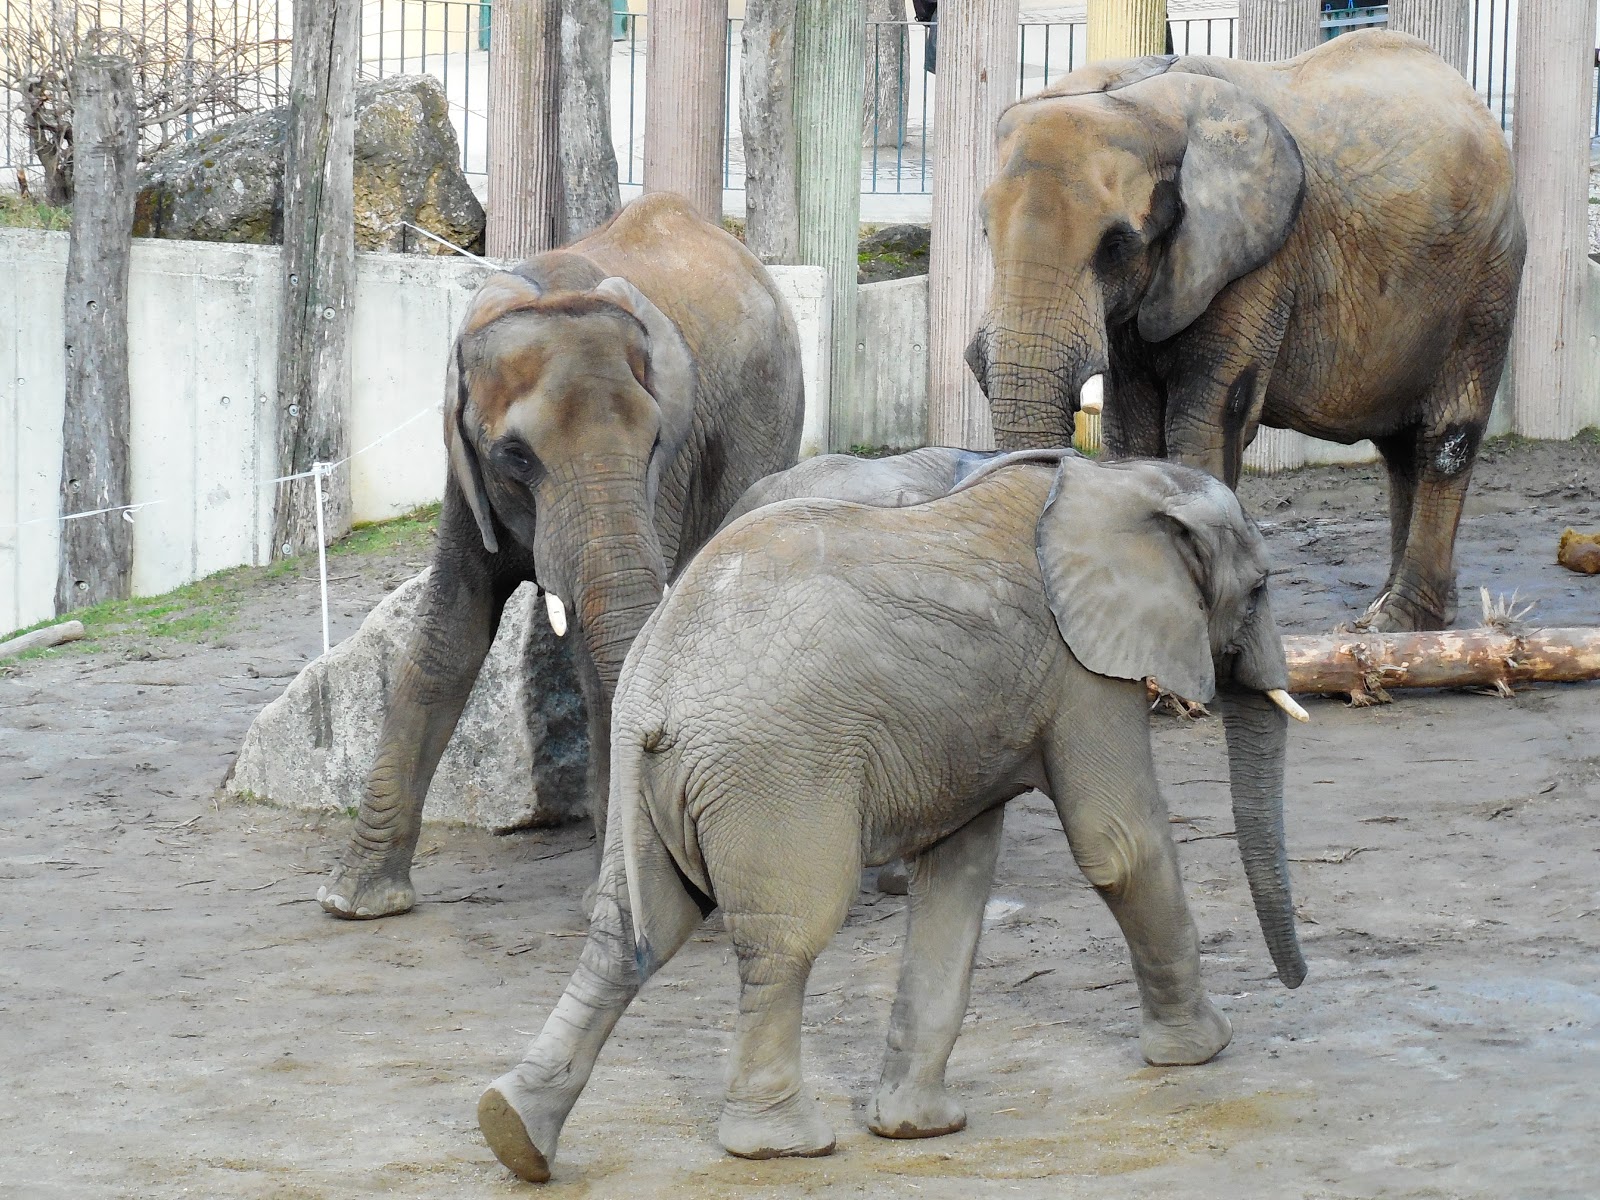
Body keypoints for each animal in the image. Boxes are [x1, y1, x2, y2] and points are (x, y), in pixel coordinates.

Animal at [316, 192, 804, 919]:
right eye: (516, 456)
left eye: (658, 439)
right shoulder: (467, 475)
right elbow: (449, 632)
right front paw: (355, 904)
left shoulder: (661, 479)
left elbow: (596, 654)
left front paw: (615, 898)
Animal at [476, 451, 1309, 1180]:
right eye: (1262, 586)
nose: (1295, 983)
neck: (1119, 476)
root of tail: (655, 688)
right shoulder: (1079, 671)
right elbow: (1119, 844)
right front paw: (1206, 1051)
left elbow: (958, 874)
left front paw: (918, 1128)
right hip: (775, 769)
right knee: (786, 935)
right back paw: (782, 1146)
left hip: (659, 784)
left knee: (630, 930)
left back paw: (513, 1134)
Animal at [968, 30, 1525, 633]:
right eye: (985, 232)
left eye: (1116, 246)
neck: (1140, 96)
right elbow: (1132, 429)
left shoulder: (1258, 261)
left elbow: (1205, 419)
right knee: (1401, 450)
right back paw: (1396, 620)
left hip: (1487, 285)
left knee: (1444, 441)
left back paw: (1393, 624)